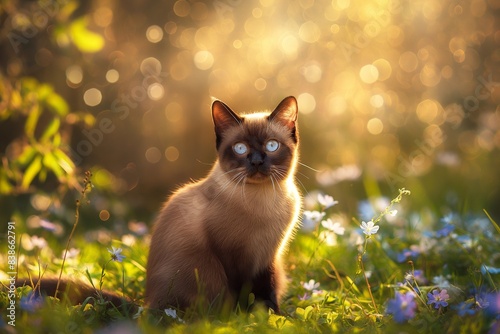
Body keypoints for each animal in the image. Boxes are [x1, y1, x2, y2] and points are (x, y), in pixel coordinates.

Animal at [145, 94, 300, 314]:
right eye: (240, 148)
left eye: (272, 146)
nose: (256, 162)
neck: (265, 201)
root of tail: (146, 303)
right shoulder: (229, 256)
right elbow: (240, 291)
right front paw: (241, 317)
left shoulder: (268, 258)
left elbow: (267, 291)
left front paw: (274, 316)